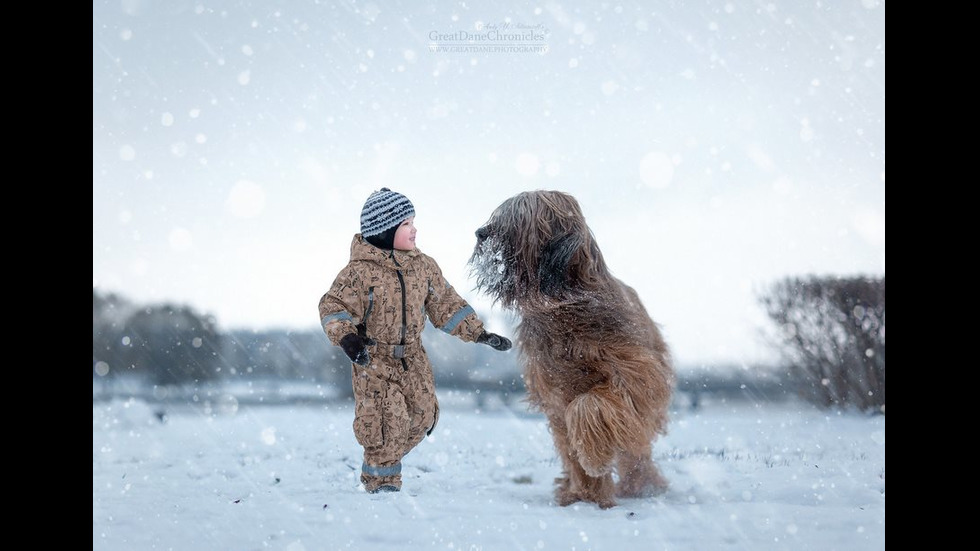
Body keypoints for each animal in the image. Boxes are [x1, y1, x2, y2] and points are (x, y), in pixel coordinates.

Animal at [470, 192, 676, 512]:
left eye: (517, 218)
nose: (480, 233)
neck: (563, 306)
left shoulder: (638, 373)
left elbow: (587, 406)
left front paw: (594, 458)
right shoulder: (555, 391)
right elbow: (569, 438)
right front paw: (586, 493)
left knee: (635, 448)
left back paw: (642, 485)